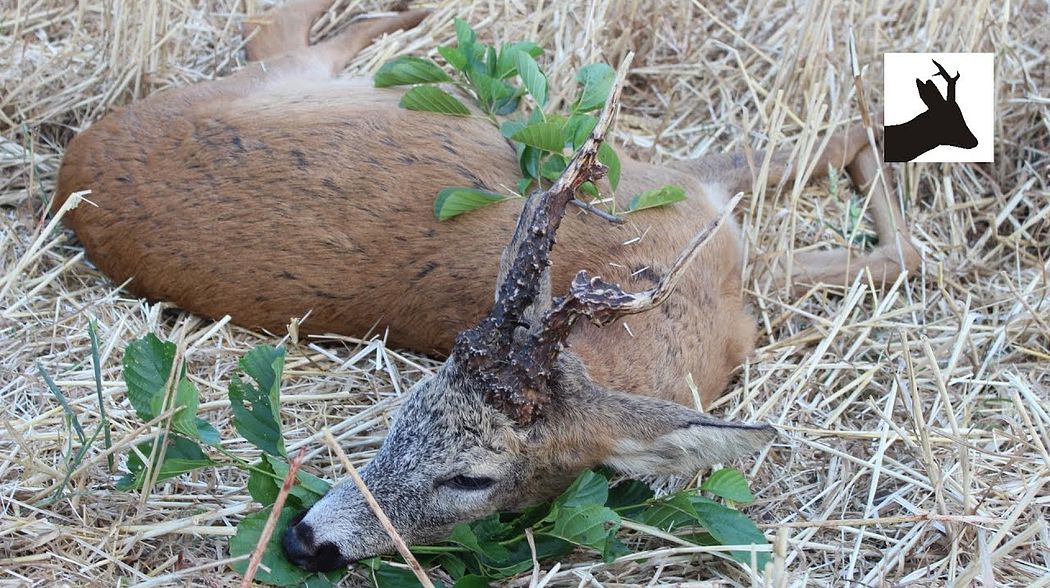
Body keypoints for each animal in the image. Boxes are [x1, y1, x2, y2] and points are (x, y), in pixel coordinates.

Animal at [51, 0, 919, 571]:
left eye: (473, 478)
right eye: (401, 415)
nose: (302, 540)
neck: (673, 318)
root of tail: (74, 164)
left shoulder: (694, 206)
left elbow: (861, 201)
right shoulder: (682, 193)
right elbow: (872, 212)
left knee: (280, 30)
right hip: (264, 78)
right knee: (275, 29)